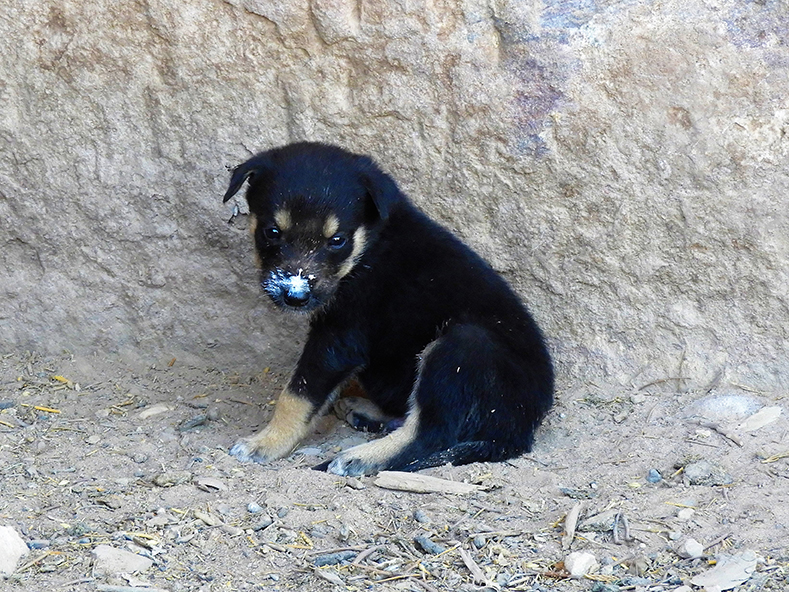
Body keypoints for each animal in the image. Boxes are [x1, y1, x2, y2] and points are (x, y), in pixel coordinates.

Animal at [222, 142, 556, 476]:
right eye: (272, 232)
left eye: (337, 240)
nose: (294, 296)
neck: (367, 249)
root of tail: (521, 429)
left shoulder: (339, 339)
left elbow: (296, 395)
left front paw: (266, 442)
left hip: (462, 347)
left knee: (429, 435)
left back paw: (361, 457)